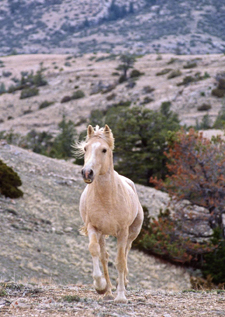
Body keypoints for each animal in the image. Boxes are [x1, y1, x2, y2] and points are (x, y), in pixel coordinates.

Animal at [76, 123, 143, 302]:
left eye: (104, 150)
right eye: (85, 148)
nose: (87, 172)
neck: (107, 198)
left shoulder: (122, 231)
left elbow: (120, 260)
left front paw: (121, 296)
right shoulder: (93, 228)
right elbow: (95, 251)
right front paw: (100, 286)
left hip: (132, 233)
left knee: (125, 253)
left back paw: (123, 283)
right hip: (102, 234)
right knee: (104, 256)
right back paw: (108, 290)